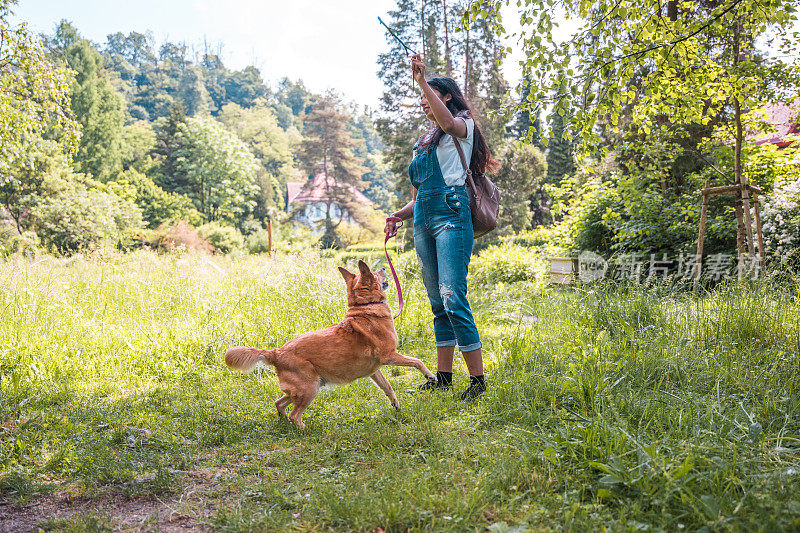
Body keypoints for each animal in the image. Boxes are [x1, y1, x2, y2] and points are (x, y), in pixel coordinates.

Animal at [225, 258, 438, 428]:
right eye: (376, 272)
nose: (385, 266)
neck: (365, 308)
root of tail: (275, 352)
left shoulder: (374, 370)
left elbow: (388, 388)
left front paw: (396, 407)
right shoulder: (390, 356)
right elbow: (417, 361)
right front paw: (430, 376)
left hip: (303, 389)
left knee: (279, 403)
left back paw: (284, 422)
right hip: (309, 389)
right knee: (295, 414)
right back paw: (304, 430)